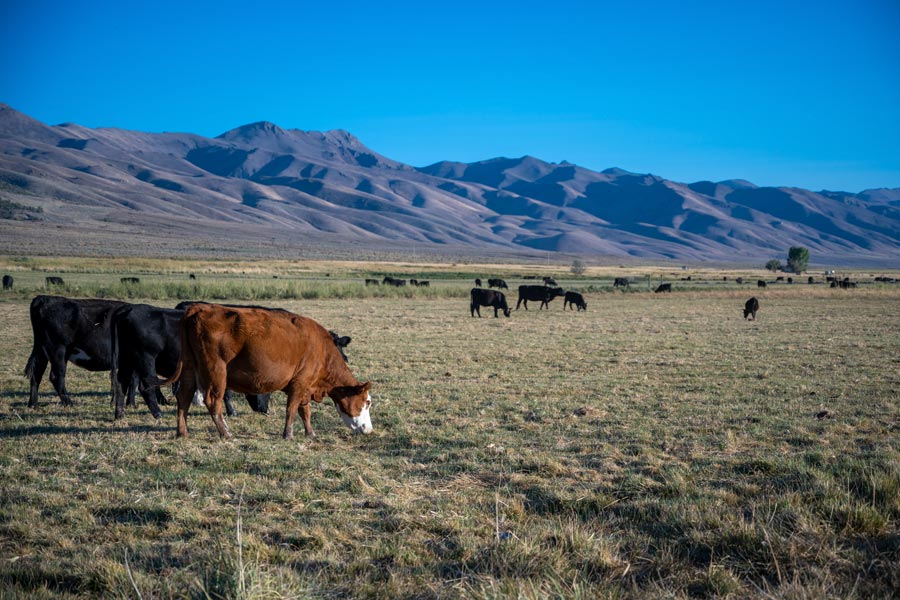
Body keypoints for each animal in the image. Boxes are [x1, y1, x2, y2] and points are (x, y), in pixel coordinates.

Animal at [153, 304, 370, 440]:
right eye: (367, 402)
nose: (368, 429)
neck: (322, 350)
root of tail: (199, 308)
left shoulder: (305, 387)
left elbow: (305, 411)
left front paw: (310, 433)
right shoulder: (299, 383)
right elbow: (292, 409)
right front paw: (288, 435)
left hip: (190, 367)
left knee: (184, 396)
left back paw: (182, 432)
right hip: (216, 372)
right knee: (213, 401)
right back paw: (225, 433)